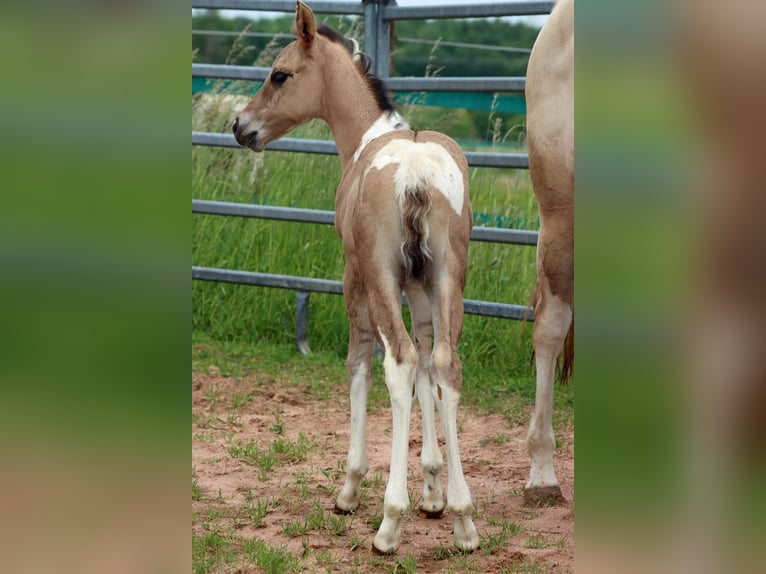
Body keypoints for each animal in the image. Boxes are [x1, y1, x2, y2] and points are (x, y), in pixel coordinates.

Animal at [232, 1, 478, 554]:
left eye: (280, 74)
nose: (240, 126)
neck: (370, 137)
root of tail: (414, 174)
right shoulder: (419, 287)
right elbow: (429, 366)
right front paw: (433, 491)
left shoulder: (355, 276)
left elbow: (360, 365)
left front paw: (350, 488)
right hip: (448, 278)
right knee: (443, 364)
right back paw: (465, 521)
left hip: (380, 276)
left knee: (398, 362)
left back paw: (388, 523)